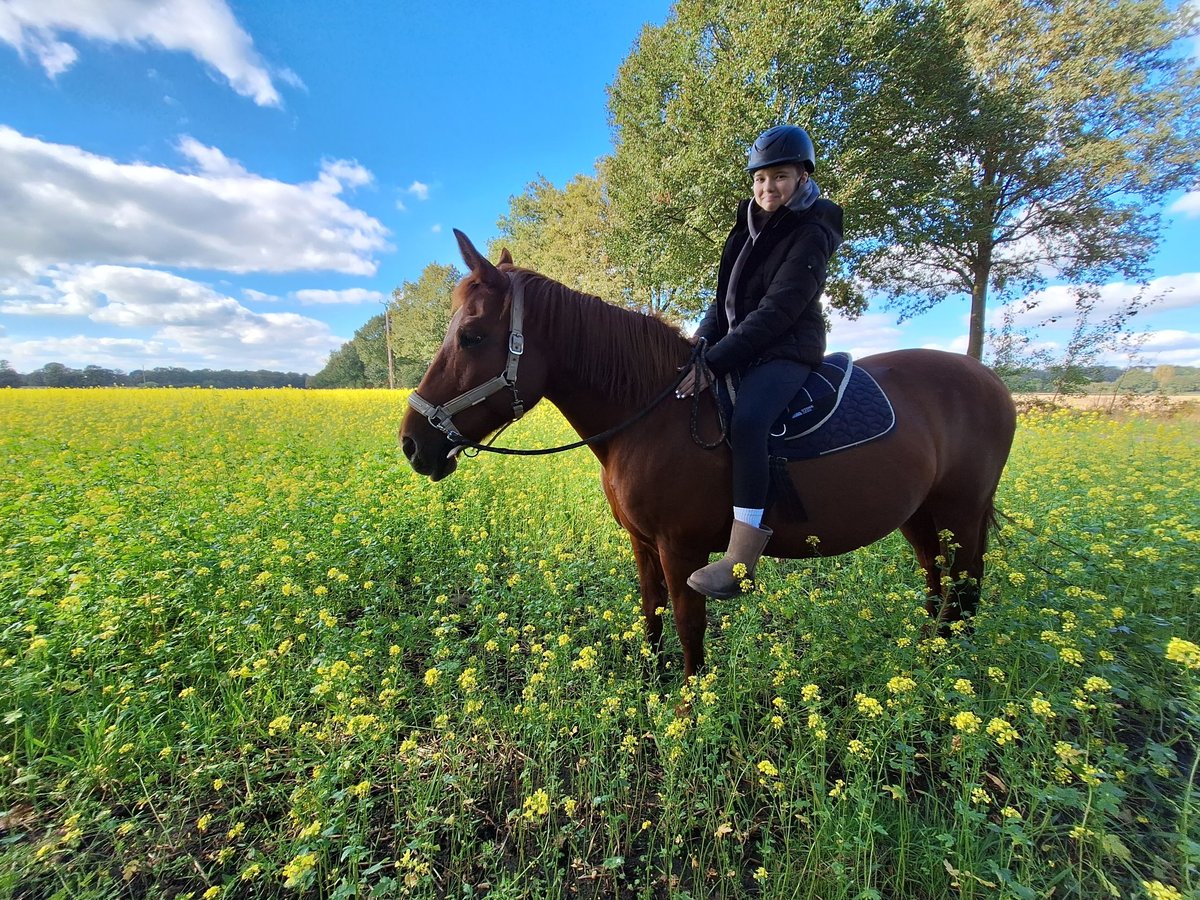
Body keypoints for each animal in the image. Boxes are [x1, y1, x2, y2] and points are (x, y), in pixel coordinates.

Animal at [400, 230, 1012, 676]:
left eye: (472, 336)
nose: (412, 444)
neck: (651, 412)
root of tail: (991, 380)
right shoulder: (644, 545)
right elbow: (650, 613)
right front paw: (651, 689)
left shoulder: (682, 549)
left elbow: (688, 629)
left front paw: (691, 712)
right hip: (921, 516)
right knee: (939, 583)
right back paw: (929, 657)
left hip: (960, 514)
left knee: (965, 588)